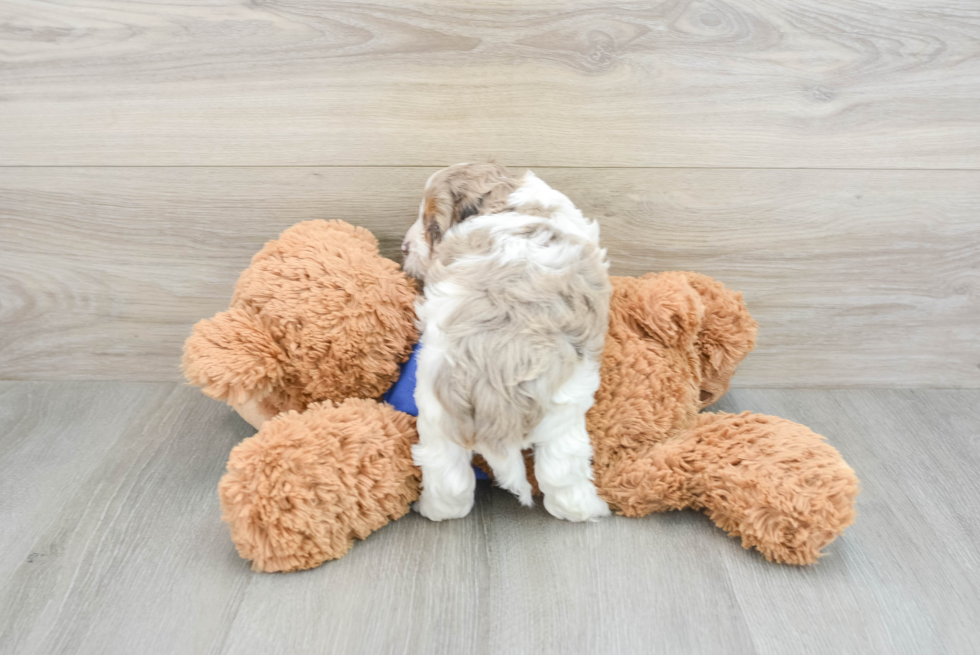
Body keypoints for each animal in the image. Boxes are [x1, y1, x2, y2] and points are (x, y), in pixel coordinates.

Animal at [402, 164, 608, 524]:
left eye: (432, 228)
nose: (402, 247)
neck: (509, 205)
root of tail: (493, 390)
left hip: (443, 417)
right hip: (561, 415)